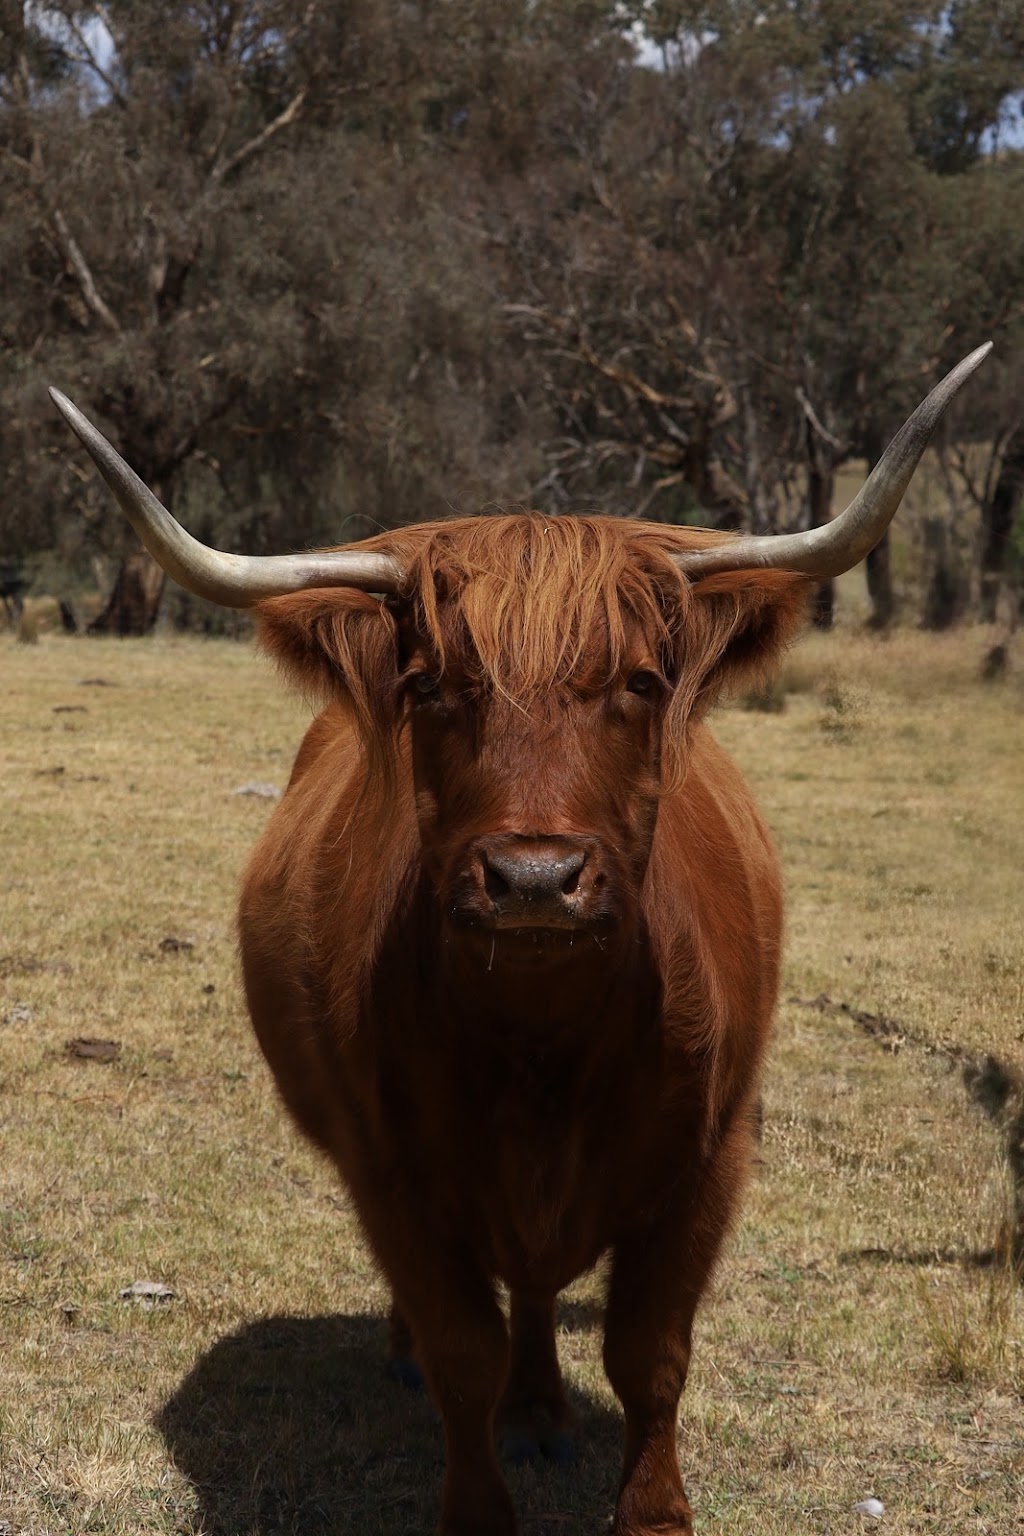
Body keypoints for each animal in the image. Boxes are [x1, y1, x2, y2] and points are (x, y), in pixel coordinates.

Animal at [50, 345, 988, 1536]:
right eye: (431, 688)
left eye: (641, 681)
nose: (533, 880)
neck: (543, 1045)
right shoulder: (390, 1174)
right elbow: (463, 1352)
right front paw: (476, 1498)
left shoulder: (708, 1161)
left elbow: (651, 1355)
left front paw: (652, 1508)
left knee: (540, 1295)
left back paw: (543, 1412)